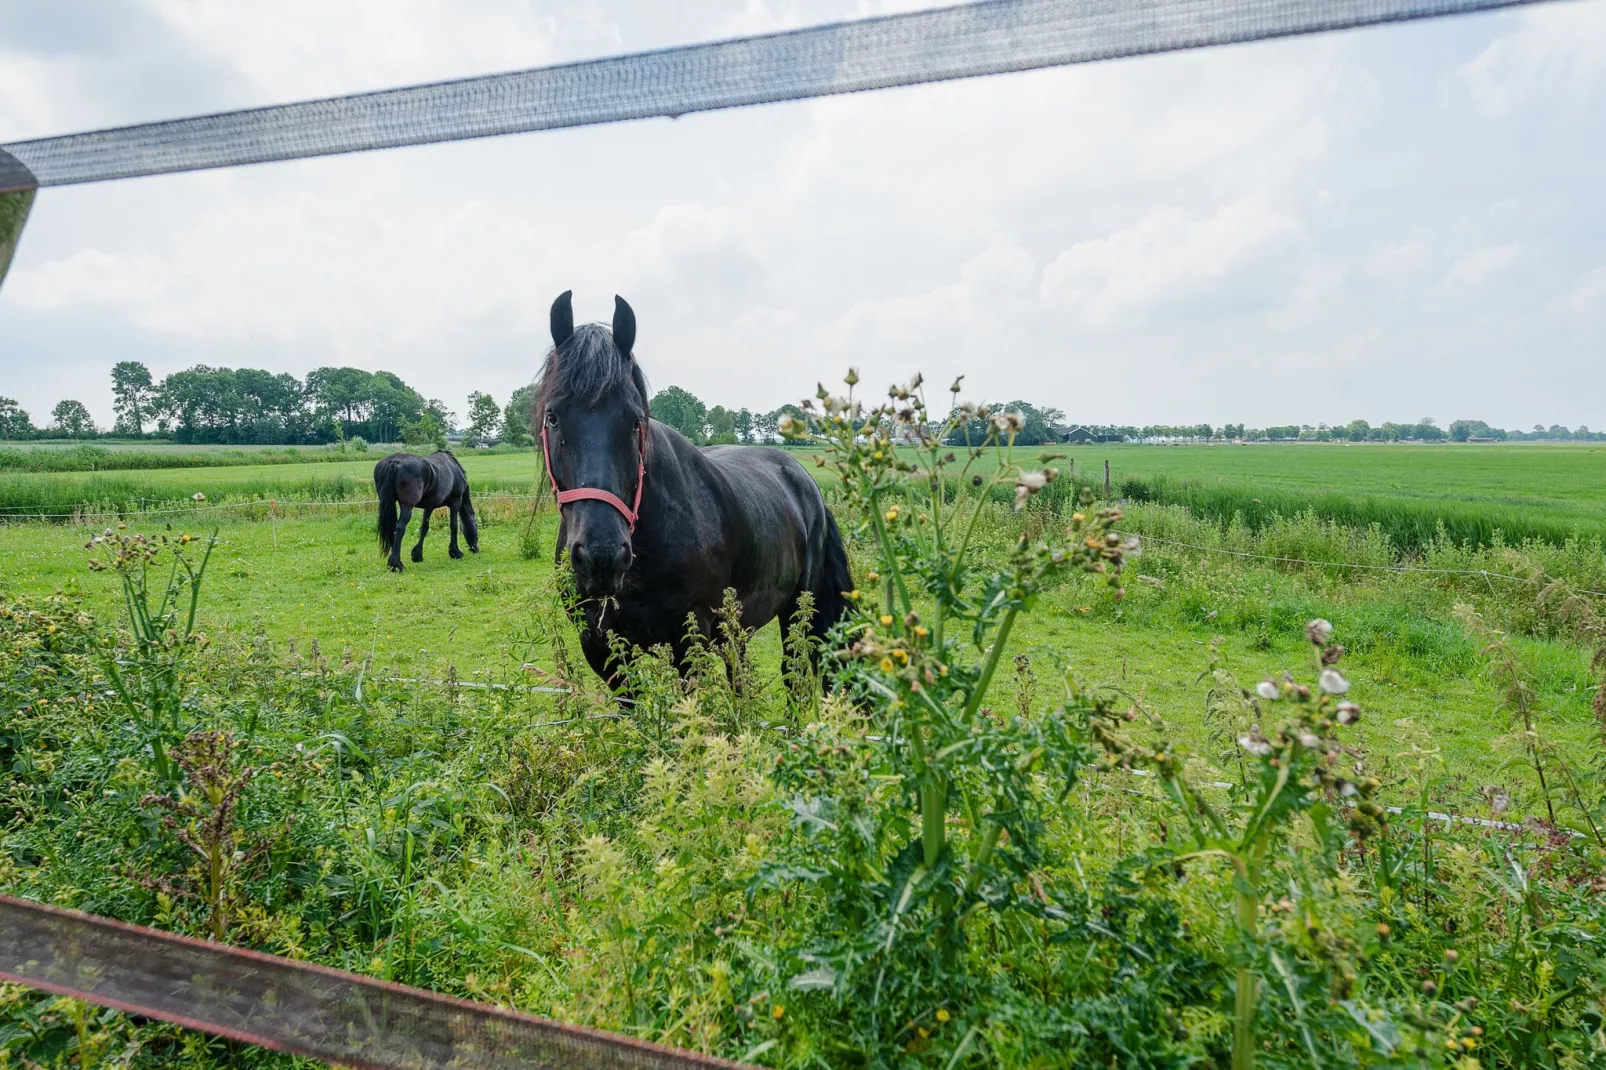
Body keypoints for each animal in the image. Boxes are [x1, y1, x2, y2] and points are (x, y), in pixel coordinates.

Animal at [536, 287, 854, 677]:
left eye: (635, 420)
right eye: (553, 417)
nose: (602, 557)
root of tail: (802, 477)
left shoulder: (689, 646)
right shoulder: (601, 650)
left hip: (796, 611)